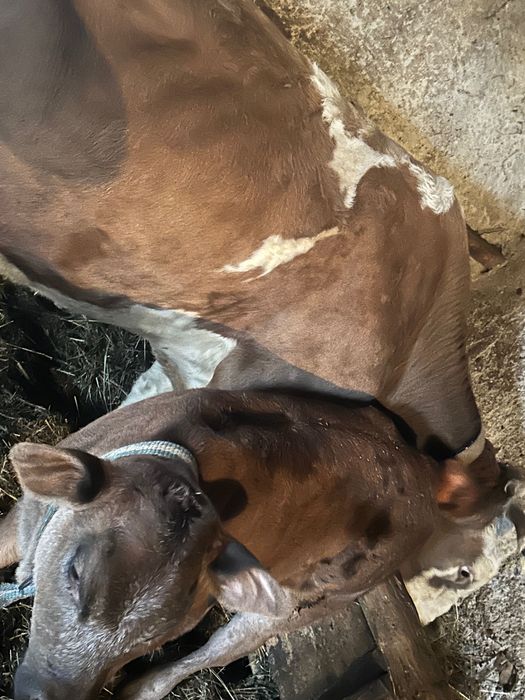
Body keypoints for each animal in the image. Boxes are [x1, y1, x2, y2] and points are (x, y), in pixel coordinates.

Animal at [0, 388, 516, 700]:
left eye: (156, 636)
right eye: (75, 572)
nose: (39, 696)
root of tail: (425, 473)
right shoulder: (25, 509)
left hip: (314, 600)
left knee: (218, 650)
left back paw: (141, 689)